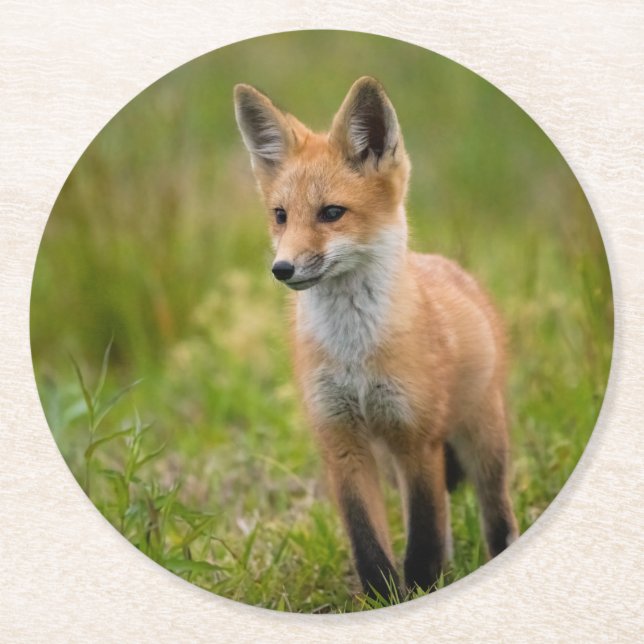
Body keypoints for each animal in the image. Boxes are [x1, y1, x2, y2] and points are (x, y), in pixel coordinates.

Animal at [233, 76, 519, 599]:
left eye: (331, 213)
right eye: (280, 215)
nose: (281, 269)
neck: (354, 355)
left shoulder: (415, 437)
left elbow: (423, 539)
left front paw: (421, 590)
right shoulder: (342, 441)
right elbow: (367, 540)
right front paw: (383, 598)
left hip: (482, 441)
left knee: (496, 518)